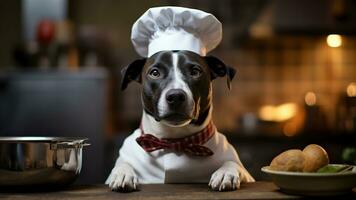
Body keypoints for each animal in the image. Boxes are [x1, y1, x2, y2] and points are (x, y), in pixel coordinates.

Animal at [104, 50, 254, 192]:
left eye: (195, 72)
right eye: (155, 73)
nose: (175, 96)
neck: (174, 141)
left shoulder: (246, 174)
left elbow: (232, 163)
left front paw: (225, 173)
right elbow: (123, 164)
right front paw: (122, 173)